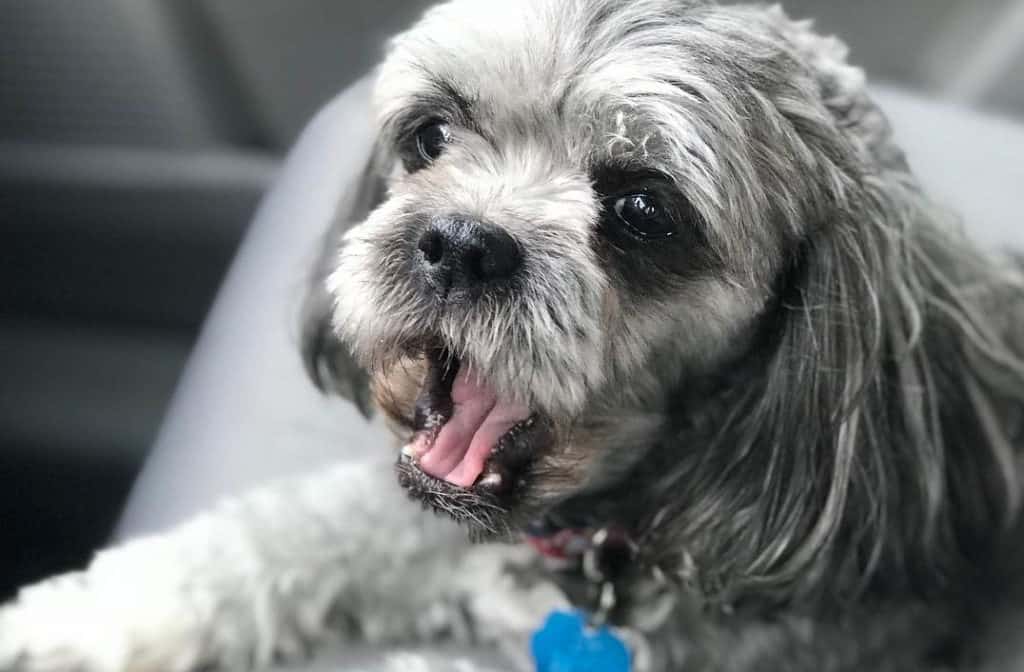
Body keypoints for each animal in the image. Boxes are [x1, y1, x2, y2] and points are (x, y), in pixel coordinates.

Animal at [2, 1, 1024, 672]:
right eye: (430, 136)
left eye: (645, 209)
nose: (459, 243)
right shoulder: (404, 518)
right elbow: (274, 536)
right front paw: (65, 625)